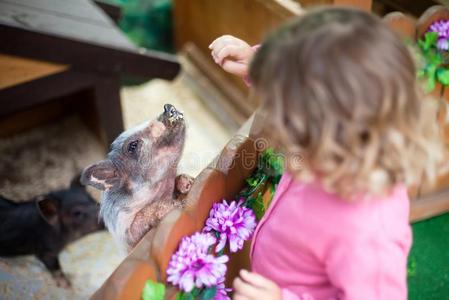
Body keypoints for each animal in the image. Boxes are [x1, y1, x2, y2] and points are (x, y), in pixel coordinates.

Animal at [80, 104, 192, 252]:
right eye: (132, 146)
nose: (168, 107)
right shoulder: (127, 233)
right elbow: (142, 217)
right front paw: (177, 205)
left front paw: (187, 183)